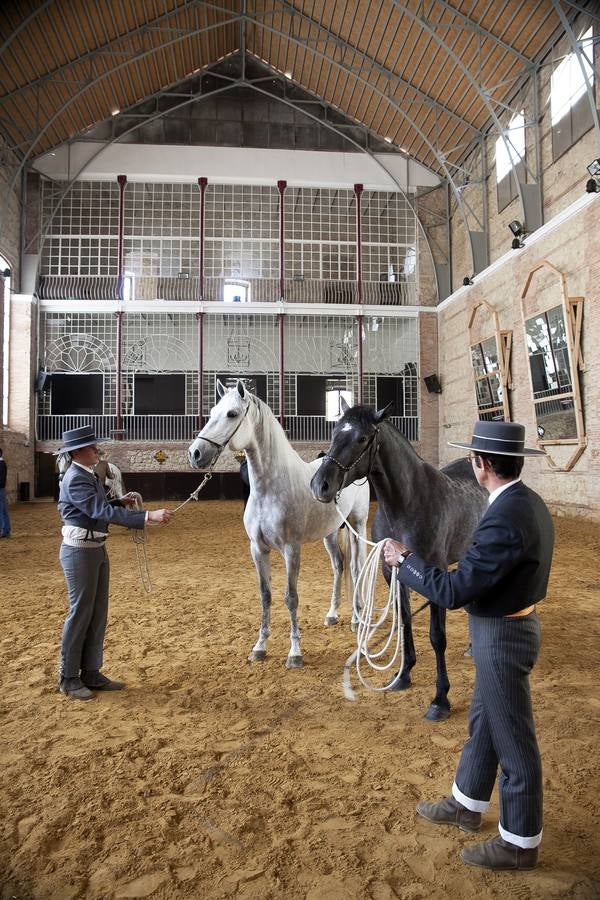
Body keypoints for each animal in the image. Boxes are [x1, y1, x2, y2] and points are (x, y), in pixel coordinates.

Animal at [188, 380, 370, 668]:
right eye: (212, 411)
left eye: (232, 414)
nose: (195, 453)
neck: (270, 487)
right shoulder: (257, 549)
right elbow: (266, 595)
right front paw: (259, 647)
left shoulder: (291, 550)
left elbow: (290, 597)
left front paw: (295, 653)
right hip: (330, 533)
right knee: (339, 566)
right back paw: (332, 614)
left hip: (357, 525)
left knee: (355, 566)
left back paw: (356, 619)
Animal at [310, 404, 488, 720]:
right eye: (334, 431)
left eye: (362, 438)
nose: (321, 485)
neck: (407, 504)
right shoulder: (391, 570)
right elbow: (404, 621)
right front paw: (403, 675)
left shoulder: (436, 575)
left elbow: (437, 637)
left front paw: (440, 699)